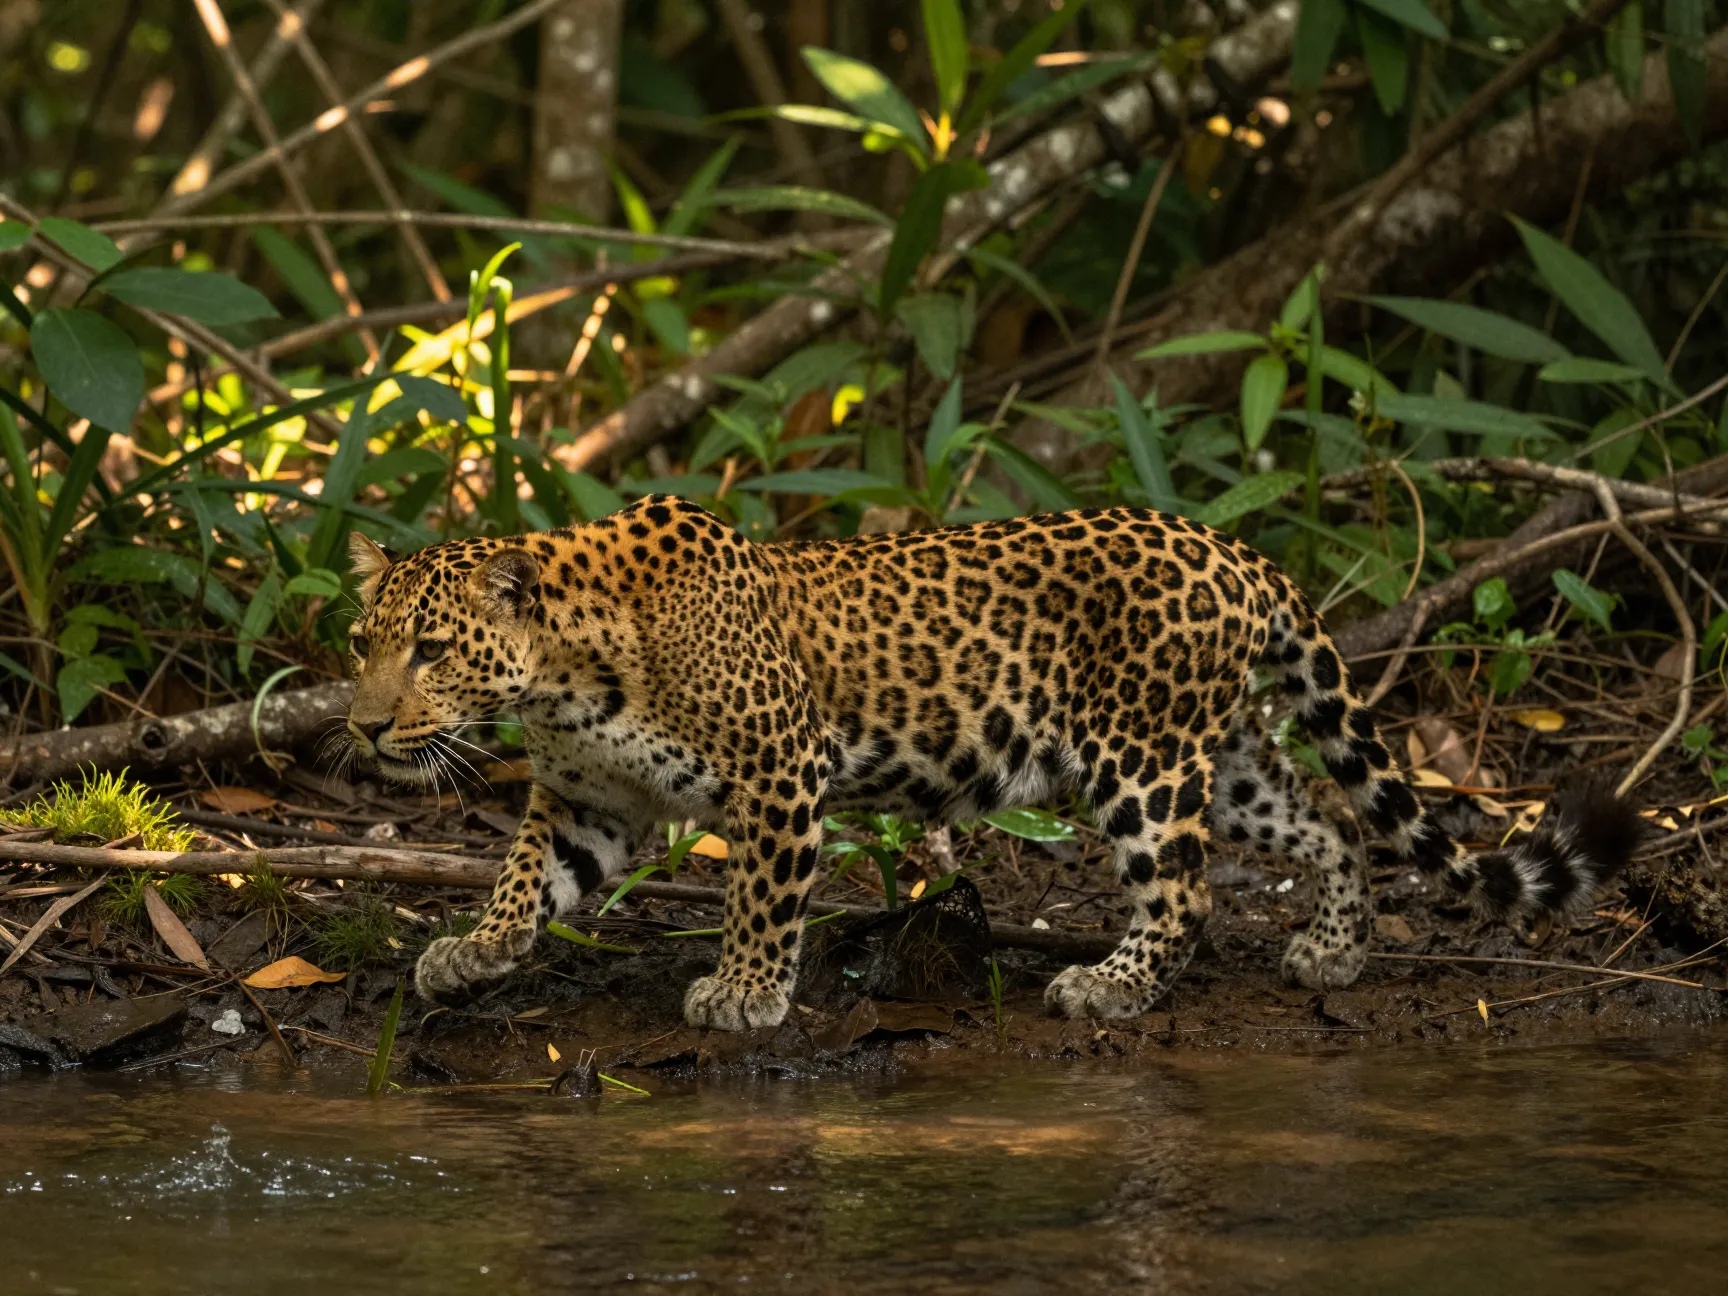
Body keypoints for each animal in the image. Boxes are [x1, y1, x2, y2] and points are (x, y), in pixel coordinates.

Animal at [339, 495, 1642, 1030]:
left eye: (433, 649)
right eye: (364, 644)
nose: (358, 726)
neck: (564, 674)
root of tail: (1234, 549)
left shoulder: (781, 771)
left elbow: (762, 897)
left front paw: (745, 994)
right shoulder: (586, 800)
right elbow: (525, 880)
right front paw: (470, 953)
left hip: (1140, 761)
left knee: (1188, 891)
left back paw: (1112, 987)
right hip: (1217, 755)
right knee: (1324, 821)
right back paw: (1332, 951)